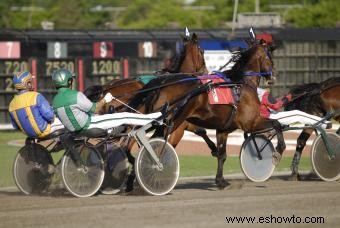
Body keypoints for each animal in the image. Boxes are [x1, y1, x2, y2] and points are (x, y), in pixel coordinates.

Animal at [128, 41, 284, 188]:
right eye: (270, 57)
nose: (274, 75)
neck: (242, 83)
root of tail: (161, 84)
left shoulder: (223, 130)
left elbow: (222, 155)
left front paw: (220, 180)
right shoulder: (250, 123)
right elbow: (277, 124)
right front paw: (277, 151)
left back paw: (132, 179)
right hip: (172, 122)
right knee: (152, 144)